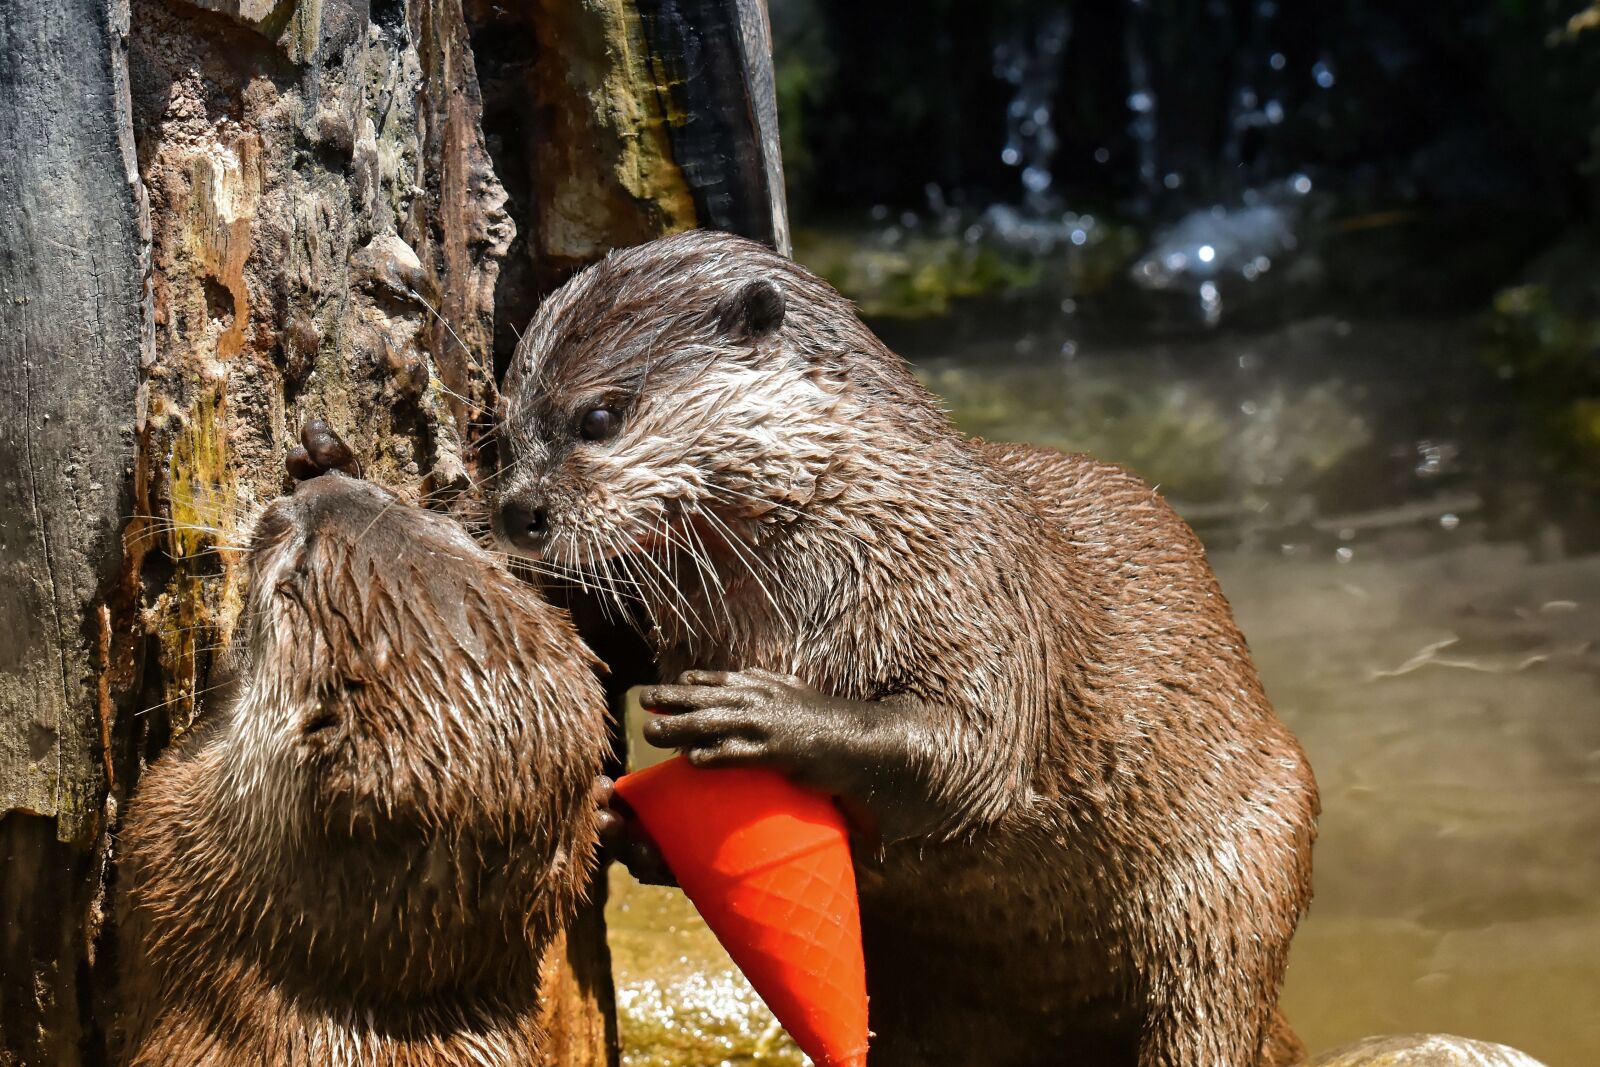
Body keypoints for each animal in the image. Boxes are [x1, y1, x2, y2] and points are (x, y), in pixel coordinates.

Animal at [493, 231, 1319, 1067]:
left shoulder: (981, 592)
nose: (517, 509)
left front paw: (760, 713)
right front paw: (616, 816)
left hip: (1239, 886)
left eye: (600, 415)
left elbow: (972, 754)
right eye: (505, 423)